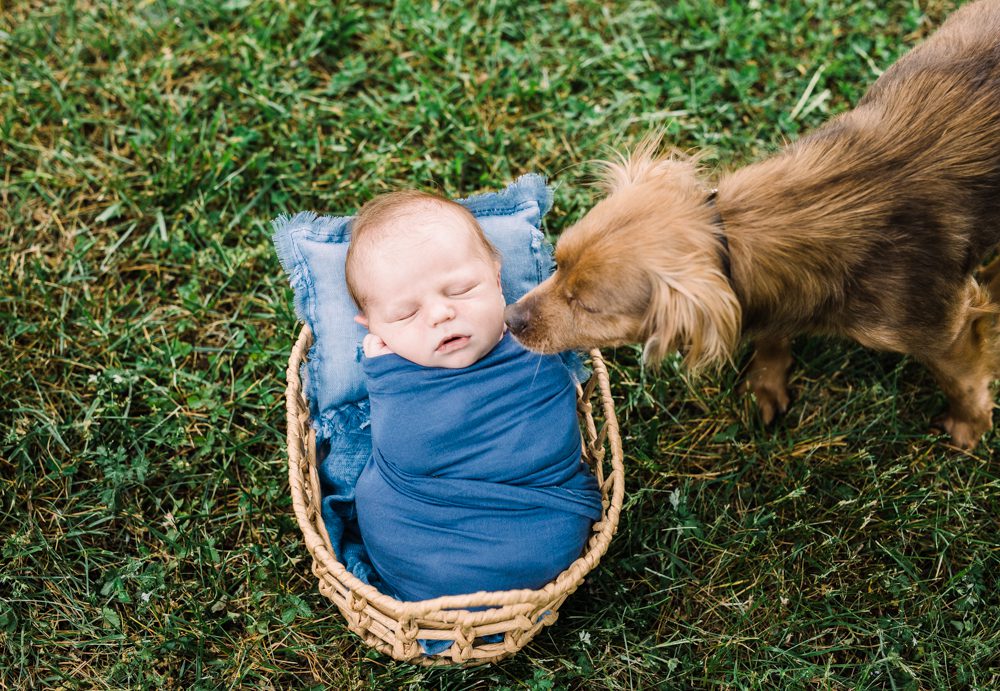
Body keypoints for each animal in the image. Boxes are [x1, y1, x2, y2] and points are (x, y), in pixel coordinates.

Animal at [504, 0, 1000, 452]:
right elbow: (771, 332)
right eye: (557, 262)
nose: (509, 319)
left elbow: (962, 378)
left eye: (586, 306)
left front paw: (968, 426)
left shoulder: (946, 327)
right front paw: (767, 379)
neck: (736, 227)